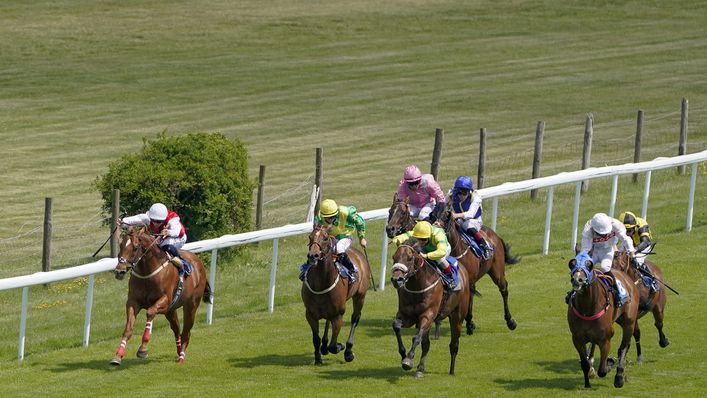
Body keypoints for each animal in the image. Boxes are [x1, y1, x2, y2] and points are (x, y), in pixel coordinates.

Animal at [109, 225, 210, 366]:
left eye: (135, 247)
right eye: (121, 245)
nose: (119, 271)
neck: (147, 273)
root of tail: (199, 262)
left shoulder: (165, 301)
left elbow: (150, 312)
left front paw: (143, 350)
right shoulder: (133, 302)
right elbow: (128, 329)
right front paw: (118, 355)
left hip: (191, 305)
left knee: (186, 332)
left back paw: (181, 358)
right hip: (171, 310)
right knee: (176, 329)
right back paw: (179, 350)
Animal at [302, 222, 370, 366]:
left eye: (325, 238)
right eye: (310, 237)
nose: (313, 255)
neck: (321, 284)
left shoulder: (338, 314)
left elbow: (333, 346)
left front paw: (340, 346)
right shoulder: (310, 314)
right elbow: (315, 339)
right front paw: (318, 358)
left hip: (360, 296)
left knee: (355, 318)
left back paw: (348, 350)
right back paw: (324, 346)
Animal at [392, 241, 470, 378]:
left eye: (410, 258)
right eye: (393, 257)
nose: (397, 280)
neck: (418, 286)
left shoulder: (427, 315)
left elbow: (416, 337)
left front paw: (408, 360)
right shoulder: (407, 316)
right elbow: (396, 325)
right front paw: (403, 354)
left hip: (457, 317)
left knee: (454, 344)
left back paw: (451, 371)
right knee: (426, 345)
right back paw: (420, 369)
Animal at [568, 255, 640, 388]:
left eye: (589, 265)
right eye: (572, 264)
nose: (577, 280)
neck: (587, 309)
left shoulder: (605, 339)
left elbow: (602, 370)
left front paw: (610, 362)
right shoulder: (577, 338)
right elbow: (584, 363)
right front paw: (587, 383)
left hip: (629, 322)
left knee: (623, 347)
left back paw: (619, 377)